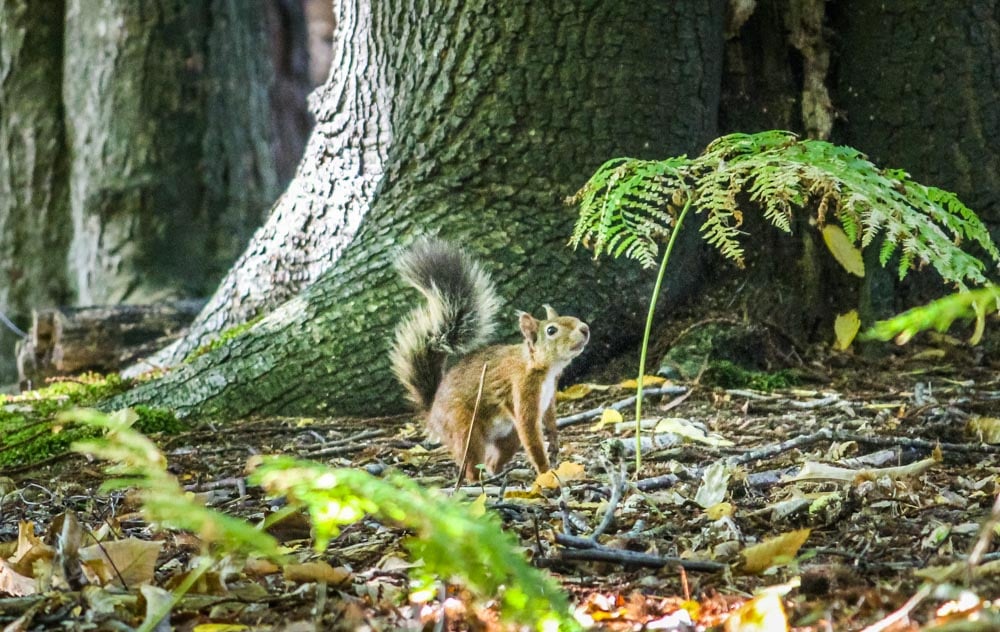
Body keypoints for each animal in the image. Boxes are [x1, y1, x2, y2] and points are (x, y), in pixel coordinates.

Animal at [390, 239, 588, 482]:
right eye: (551, 330)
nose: (585, 328)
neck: (544, 368)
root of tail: (432, 410)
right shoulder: (520, 387)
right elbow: (530, 434)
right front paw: (545, 472)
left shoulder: (549, 397)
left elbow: (550, 419)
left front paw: (554, 440)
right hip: (465, 428)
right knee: (470, 462)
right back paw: (477, 481)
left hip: (508, 437)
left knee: (495, 459)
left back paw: (500, 474)